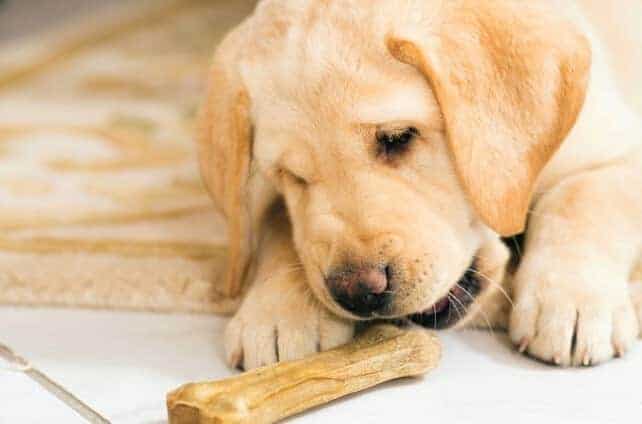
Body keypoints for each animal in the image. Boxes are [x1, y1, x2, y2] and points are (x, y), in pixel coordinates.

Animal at [198, 0, 636, 368]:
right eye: (291, 175)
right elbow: (280, 225)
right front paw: (277, 312)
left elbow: (582, 200)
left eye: (397, 138)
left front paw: (570, 302)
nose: (359, 291)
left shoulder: (620, 151)